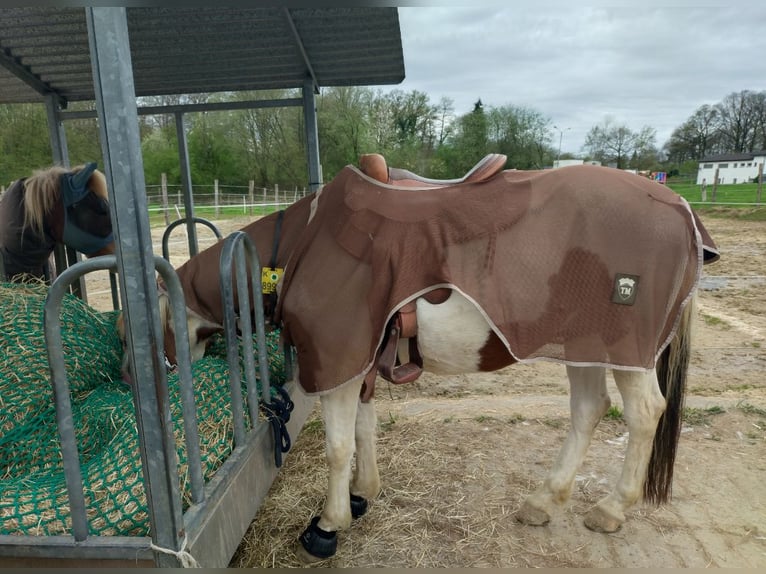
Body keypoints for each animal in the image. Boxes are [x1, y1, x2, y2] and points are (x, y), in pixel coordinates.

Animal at [126, 155, 720, 564]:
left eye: (130, 328)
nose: (131, 379)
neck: (306, 243)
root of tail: (681, 209)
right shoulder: (358, 362)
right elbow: (362, 432)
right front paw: (363, 494)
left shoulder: (336, 361)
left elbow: (338, 446)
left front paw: (329, 523)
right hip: (584, 346)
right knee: (589, 411)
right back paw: (545, 501)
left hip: (627, 352)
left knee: (642, 414)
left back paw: (612, 509)